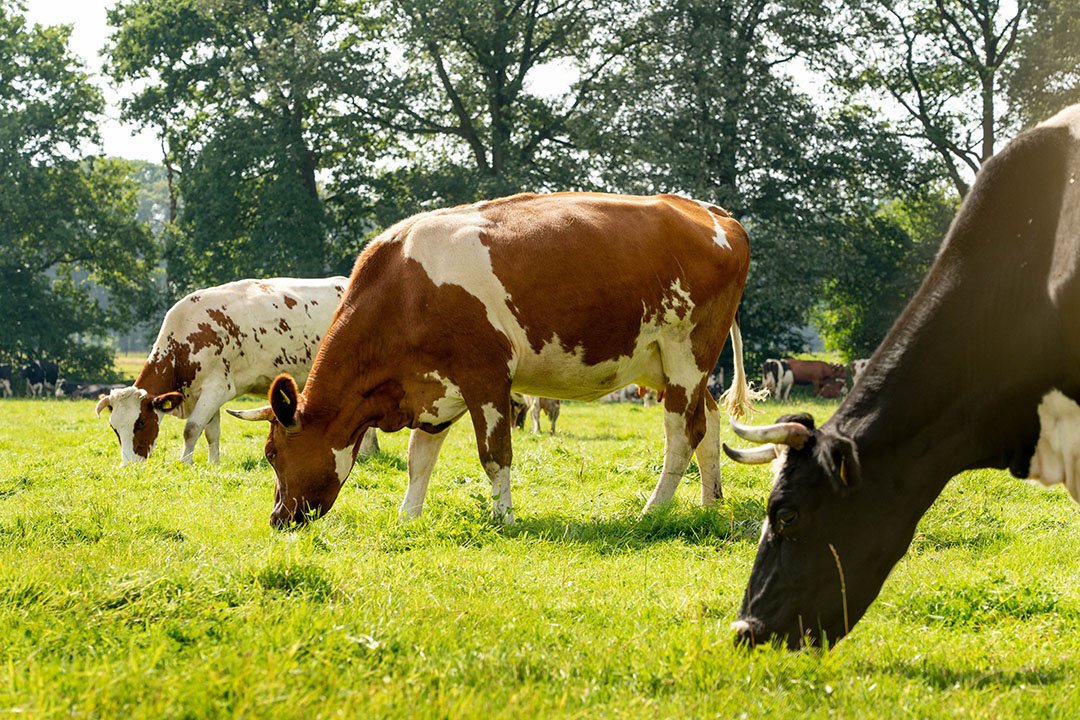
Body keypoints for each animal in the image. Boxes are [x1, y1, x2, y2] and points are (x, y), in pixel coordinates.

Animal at [95, 278, 380, 464]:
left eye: (141, 422)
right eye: (114, 428)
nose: (129, 466)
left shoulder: (216, 388)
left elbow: (191, 428)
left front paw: (185, 464)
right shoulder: (206, 394)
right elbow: (211, 432)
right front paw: (213, 465)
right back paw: (370, 451)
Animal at [234, 193, 760, 528]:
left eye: (272, 453)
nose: (278, 519)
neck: (405, 290)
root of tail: (712, 213)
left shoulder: (485, 376)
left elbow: (494, 454)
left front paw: (503, 517)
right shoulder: (433, 387)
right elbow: (419, 459)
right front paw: (408, 517)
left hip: (686, 352)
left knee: (683, 434)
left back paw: (653, 511)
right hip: (674, 366)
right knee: (709, 422)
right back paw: (710, 504)